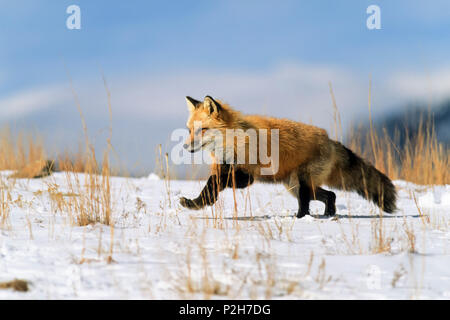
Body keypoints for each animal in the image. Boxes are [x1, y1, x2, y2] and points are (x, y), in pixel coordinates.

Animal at [179, 94, 398, 216]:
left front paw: (199, 203)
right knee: (330, 195)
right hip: (295, 185)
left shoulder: (247, 175)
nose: (185, 146)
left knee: (308, 202)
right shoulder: (225, 167)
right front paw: (196, 203)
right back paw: (328, 215)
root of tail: (329, 140)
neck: (233, 141)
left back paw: (301, 218)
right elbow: (210, 186)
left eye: (202, 130)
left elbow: (214, 183)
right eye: (190, 130)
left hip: (301, 183)